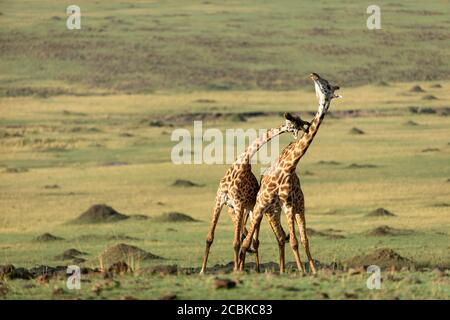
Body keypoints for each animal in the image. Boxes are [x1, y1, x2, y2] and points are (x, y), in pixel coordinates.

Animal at [200, 112, 310, 272]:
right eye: (294, 121)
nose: (306, 125)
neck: (241, 164)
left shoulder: (239, 204)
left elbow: (236, 242)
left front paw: (236, 270)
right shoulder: (220, 200)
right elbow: (209, 238)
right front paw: (202, 270)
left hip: (253, 210)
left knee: (254, 240)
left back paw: (254, 268)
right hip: (243, 211)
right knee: (245, 236)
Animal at [239, 73, 342, 276]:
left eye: (327, 85)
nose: (314, 75)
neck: (289, 167)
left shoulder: (289, 203)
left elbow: (297, 240)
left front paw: (306, 271)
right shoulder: (270, 203)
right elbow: (290, 241)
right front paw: (301, 271)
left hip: (289, 208)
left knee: (287, 238)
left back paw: (285, 269)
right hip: (265, 207)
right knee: (251, 240)